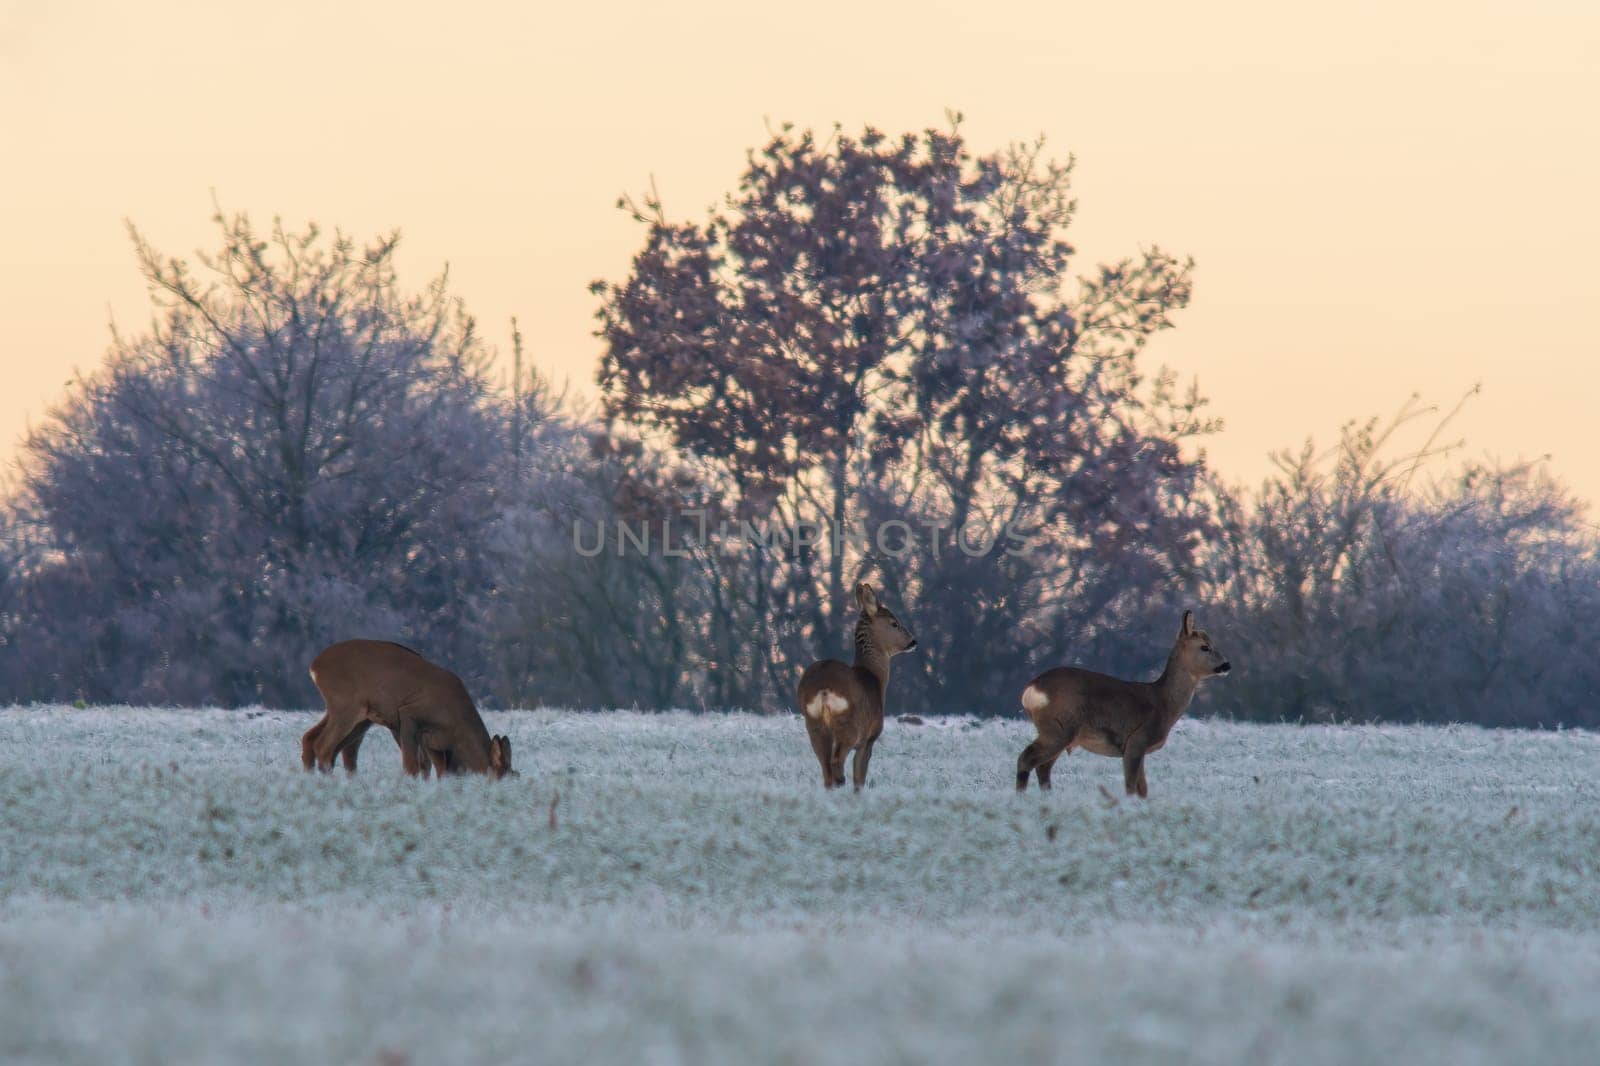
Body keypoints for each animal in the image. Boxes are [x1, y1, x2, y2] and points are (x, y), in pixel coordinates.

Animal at [304, 633, 512, 777]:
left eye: (515, 776)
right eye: (498, 777)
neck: (456, 726)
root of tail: (314, 666)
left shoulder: (431, 741)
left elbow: (432, 768)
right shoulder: (408, 715)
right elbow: (412, 766)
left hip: (358, 715)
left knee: (312, 739)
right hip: (347, 706)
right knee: (324, 746)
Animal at [796, 582, 921, 787]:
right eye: (894, 623)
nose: (913, 641)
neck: (874, 677)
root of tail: (823, 689)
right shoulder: (869, 737)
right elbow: (859, 778)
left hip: (813, 724)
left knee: (826, 770)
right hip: (849, 726)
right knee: (836, 763)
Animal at [1017, 611, 1228, 793]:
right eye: (1205, 646)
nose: (1227, 665)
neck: (1163, 702)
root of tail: (1031, 689)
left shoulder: (1138, 749)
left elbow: (1143, 790)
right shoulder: (1137, 740)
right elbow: (1131, 787)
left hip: (1059, 733)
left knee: (1043, 768)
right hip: (1058, 728)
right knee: (1026, 759)